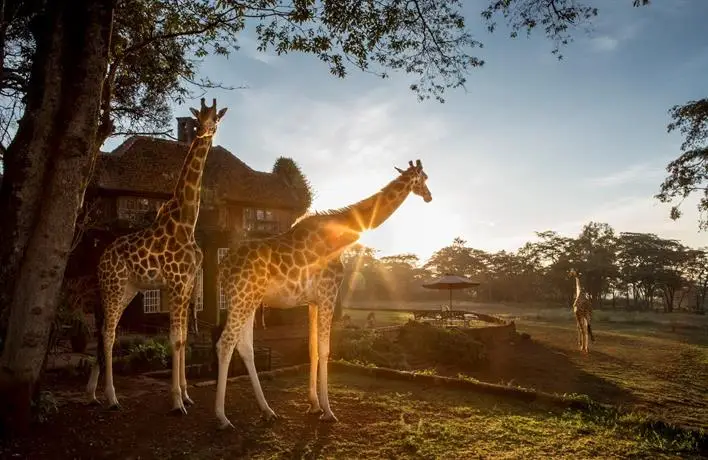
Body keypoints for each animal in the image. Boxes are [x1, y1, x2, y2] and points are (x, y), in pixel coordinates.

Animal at [86, 97, 227, 414]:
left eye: (216, 119)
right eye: (197, 119)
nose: (205, 131)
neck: (187, 222)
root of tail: (100, 260)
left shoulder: (187, 286)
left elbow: (184, 338)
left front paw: (186, 395)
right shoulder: (175, 283)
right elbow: (174, 340)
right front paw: (176, 402)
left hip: (126, 291)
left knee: (103, 334)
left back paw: (90, 393)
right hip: (113, 288)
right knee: (108, 335)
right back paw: (112, 398)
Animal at [210, 160, 432, 430]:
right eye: (424, 178)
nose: (429, 196)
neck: (341, 236)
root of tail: (223, 268)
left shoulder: (313, 301)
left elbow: (312, 348)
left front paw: (314, 405)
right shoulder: (328, 293)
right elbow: (326, 350)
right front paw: (328, 410)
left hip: (249, 300)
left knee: (244, 347)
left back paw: (267, 410)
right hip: (240, 298)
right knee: (225, 343)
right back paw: (222, 417)